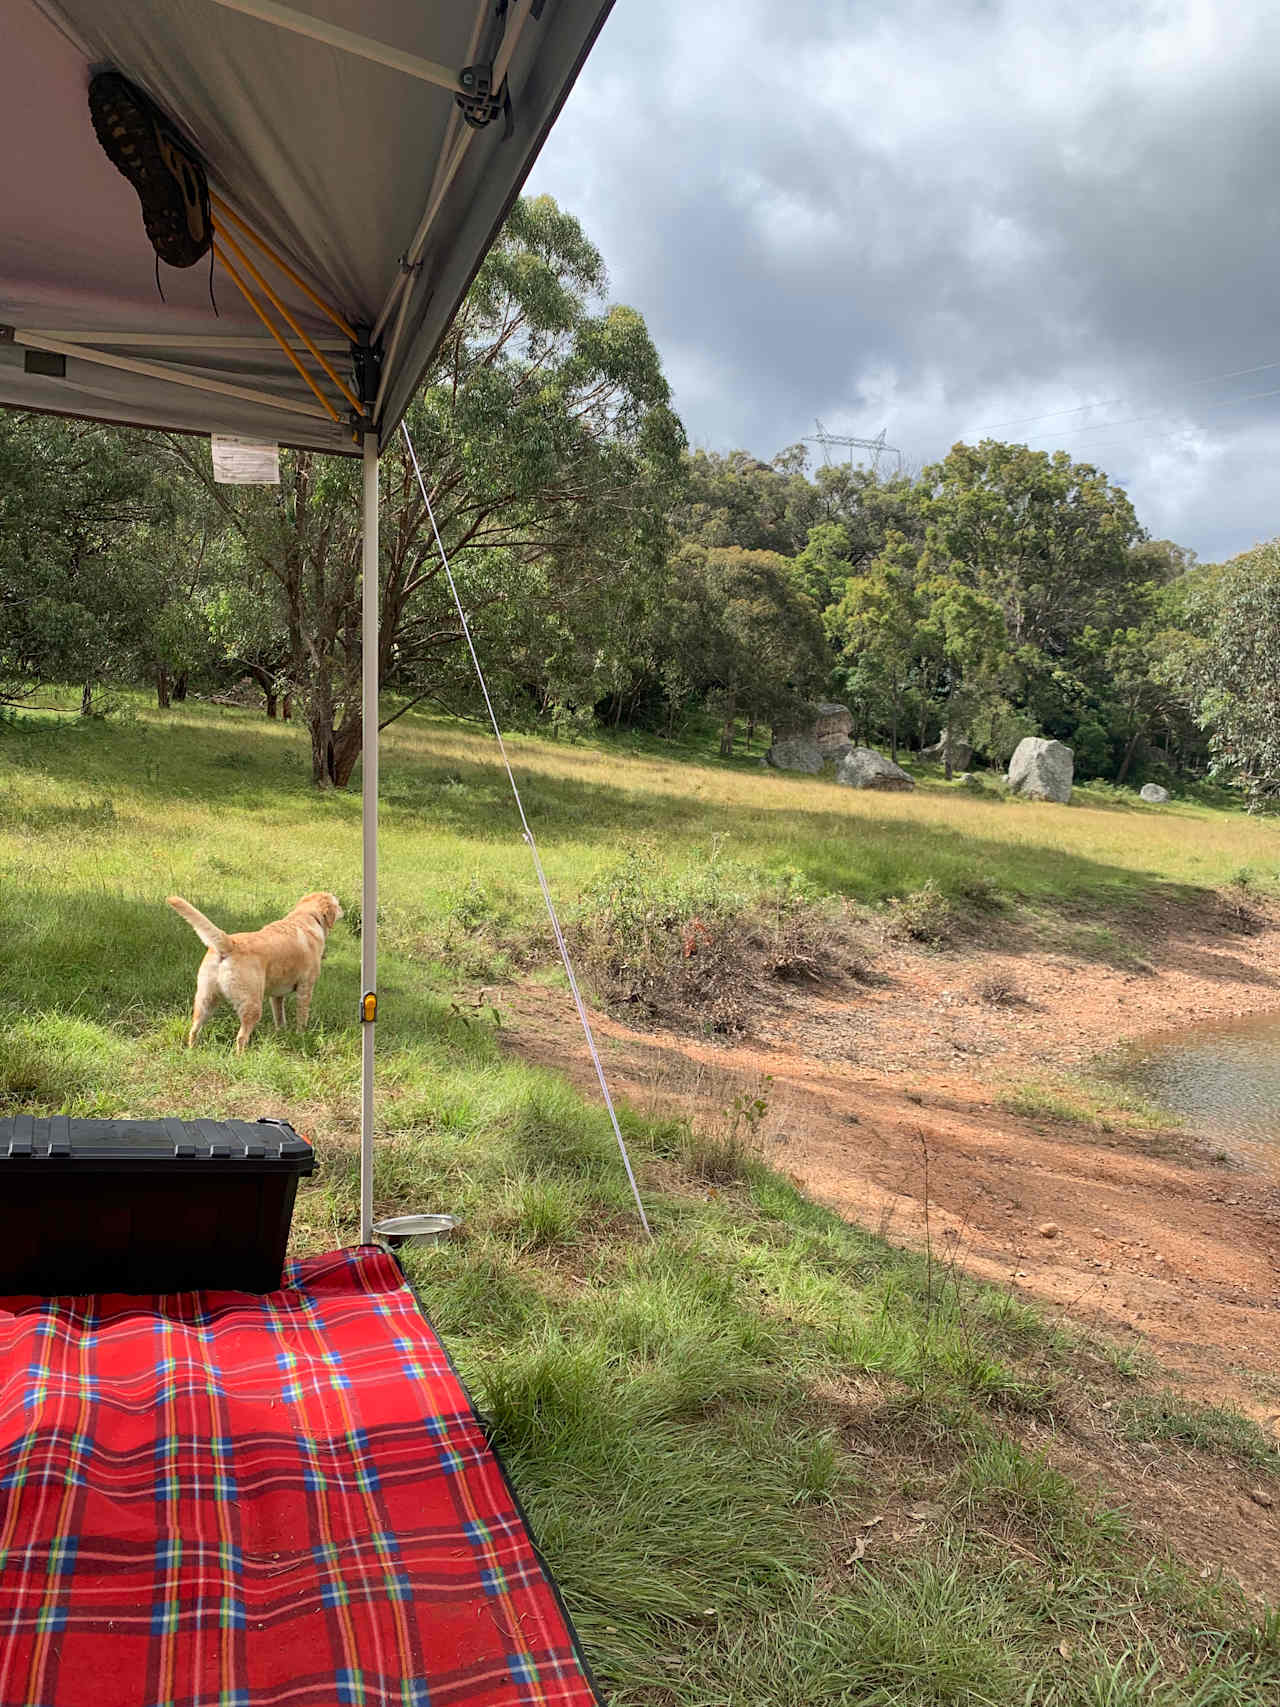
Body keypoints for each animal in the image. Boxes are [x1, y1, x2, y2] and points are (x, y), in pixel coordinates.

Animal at [168, 894, 343, 1051]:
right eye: (338, 902)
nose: (343, 910)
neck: (307, 916)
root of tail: (230, 943)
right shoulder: (305, 988)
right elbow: (302, 1017)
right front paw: (301, 1036)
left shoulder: (277, 996)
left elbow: (280, 1018)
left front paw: (282, 1034)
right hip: (252, 1005)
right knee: (241, 1038)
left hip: (206, 1000)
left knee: (194, 1030)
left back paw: (192, 1051)